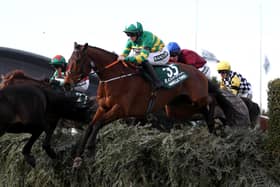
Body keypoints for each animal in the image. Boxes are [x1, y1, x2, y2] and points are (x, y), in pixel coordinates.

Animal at [64, 42, 236, 168]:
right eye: (69, 61)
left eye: (77, 61)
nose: (66, 84)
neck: (115, 77)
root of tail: (199, 72)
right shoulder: (103, 107)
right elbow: (90, 126)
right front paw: (78, 157)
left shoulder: (121, 109)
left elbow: (98, 124)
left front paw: (90, 150)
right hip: (177, 108)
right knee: (201, 111)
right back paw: (212, 127)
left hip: (197, 97)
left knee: (212, 99)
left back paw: (214, 123)